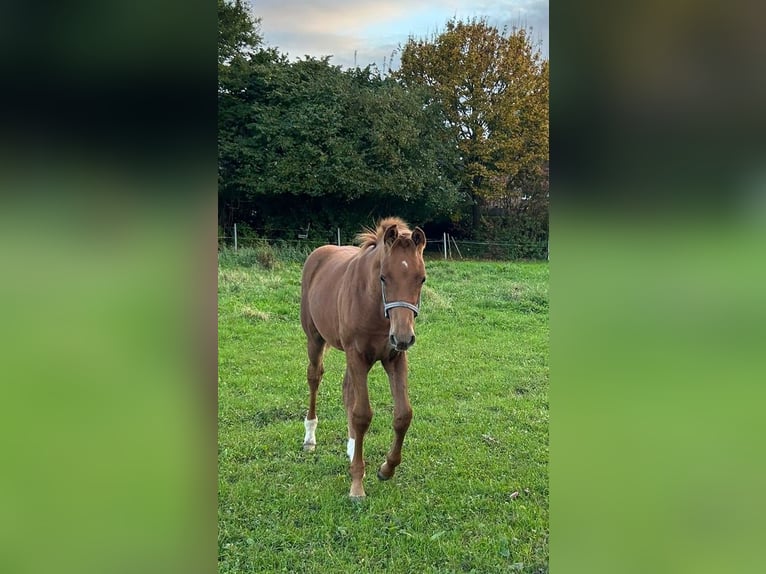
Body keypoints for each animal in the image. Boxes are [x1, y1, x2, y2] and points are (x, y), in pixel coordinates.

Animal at [300, 218, 428, 498]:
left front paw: (386, 469)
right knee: (314, 378)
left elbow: (403, 414)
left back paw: (351, 449)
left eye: (422, 279)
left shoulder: (395, 358)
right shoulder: (357, 355)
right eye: (383, 277)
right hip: (315, 340)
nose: (403, 337)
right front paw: (357, 485)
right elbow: (362, 415)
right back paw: (310, 438)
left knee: (347, 390)